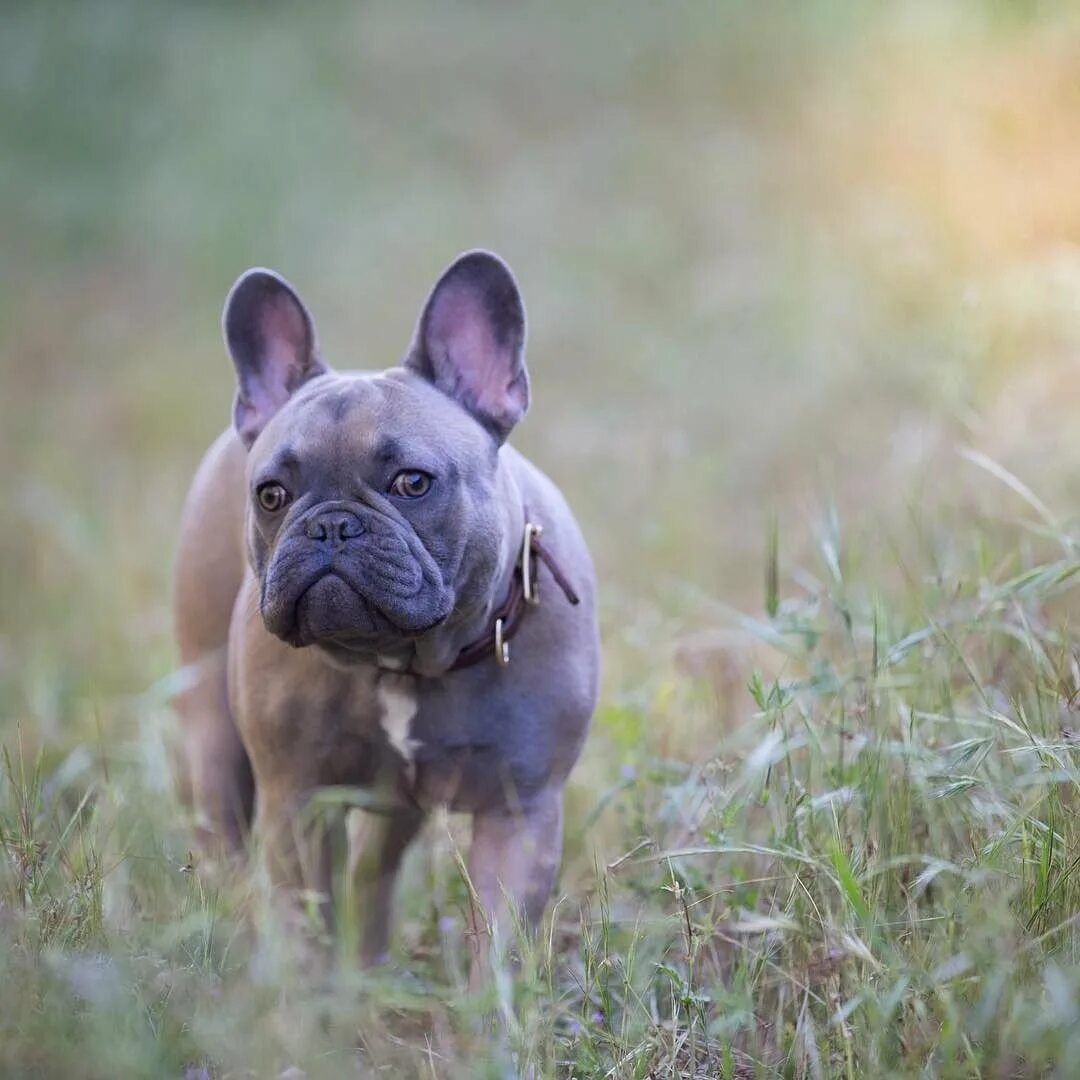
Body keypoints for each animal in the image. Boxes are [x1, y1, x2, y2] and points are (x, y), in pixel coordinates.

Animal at [173, 254, 604, 972]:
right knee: (223, 837)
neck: (405, 661)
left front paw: (490, 1003)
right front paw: (307, 992)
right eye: (271, 494)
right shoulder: (299, 799)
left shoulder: (521, 811)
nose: (331, 526)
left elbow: (500, 939)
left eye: (413, 482)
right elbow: (305, 917)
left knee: (373, 871)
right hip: (211, 728)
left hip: (396, 804)